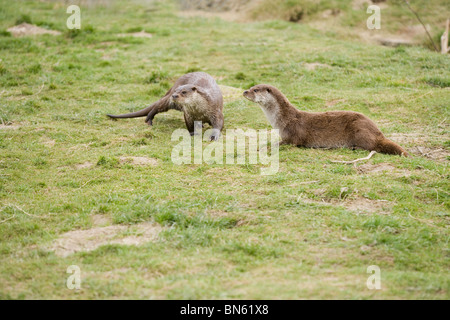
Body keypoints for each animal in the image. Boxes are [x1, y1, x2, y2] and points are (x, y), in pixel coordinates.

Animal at [244, 84, 410, 156]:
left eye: (255, 90)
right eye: (251, 87)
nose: (245, 91)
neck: (283, 119)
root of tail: (377, 132)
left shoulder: (293, 136)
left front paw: (263, 146)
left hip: (360, 130)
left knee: (372, 147)